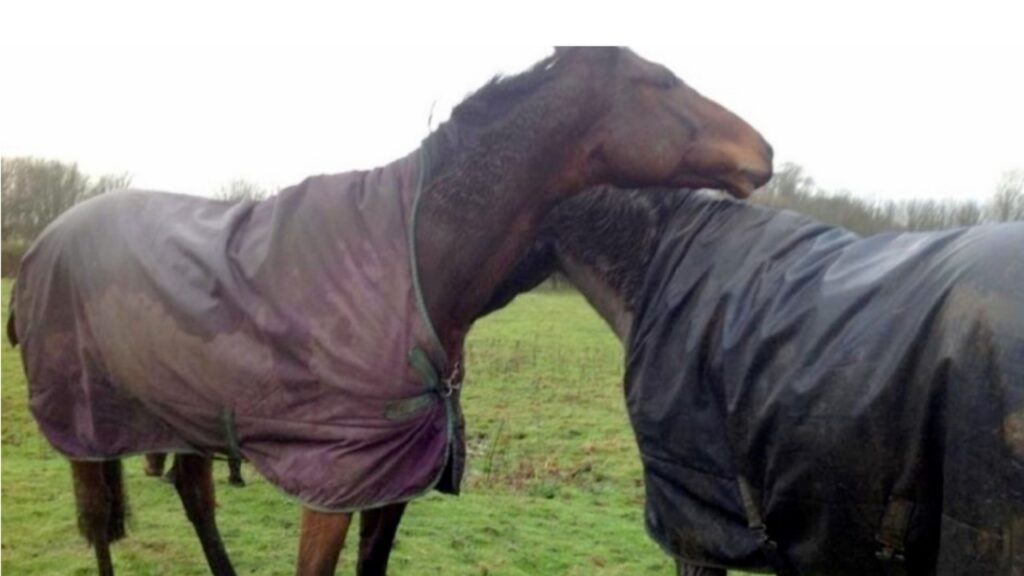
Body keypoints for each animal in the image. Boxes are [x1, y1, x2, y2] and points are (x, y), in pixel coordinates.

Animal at [2, 49, 770, 573]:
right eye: (661, 81)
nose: (762, 151)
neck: (415, 266)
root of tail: (43, 241)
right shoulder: (331, 487)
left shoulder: (393, 484)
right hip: (86, 423)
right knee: (99, 525)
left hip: (182, 413)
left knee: (193, 496)